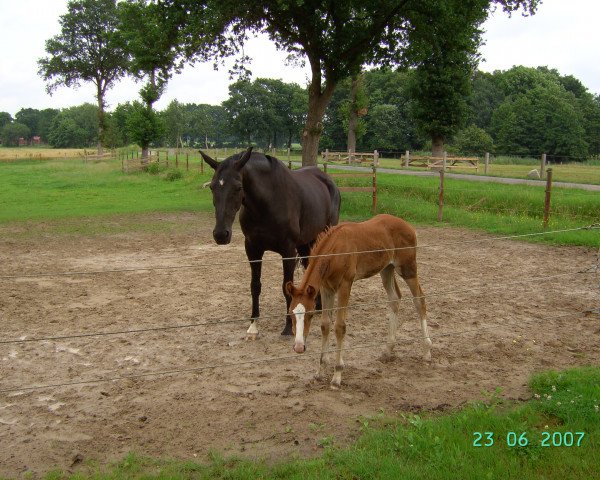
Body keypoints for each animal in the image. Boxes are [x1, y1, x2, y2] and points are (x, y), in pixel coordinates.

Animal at [202, 146, 340, 338]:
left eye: (238, 187)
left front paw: (288, 327)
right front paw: (253, 325)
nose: (221, 234)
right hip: (306, 243)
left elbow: (286, 287)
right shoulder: (252, 249)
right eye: (212, 187)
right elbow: (255, 286)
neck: (267, 203)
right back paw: (315, 306)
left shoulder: (288, 252)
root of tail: (328, 181)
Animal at [286, 216, 432, 388]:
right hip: (386, 269)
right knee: (395, 298)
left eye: (309, 315)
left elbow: (339, 327)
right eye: (290, 314)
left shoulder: (345, 284)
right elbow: (325, 325)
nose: (299, 347)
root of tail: (409, 226)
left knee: (419, 300)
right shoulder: (326, 289)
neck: (335, 251)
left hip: (407, 268)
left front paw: (337, 376)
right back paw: (388, 350)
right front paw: (320, 371)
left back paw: (427, 351)